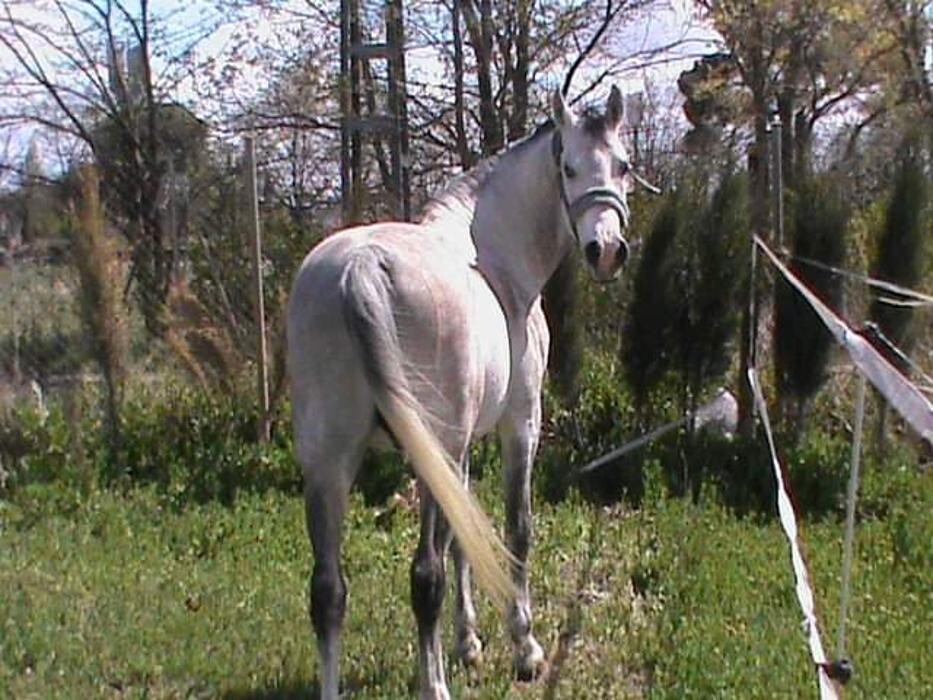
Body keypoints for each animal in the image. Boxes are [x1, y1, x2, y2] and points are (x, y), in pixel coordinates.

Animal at [284, 89, 632, 700]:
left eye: (624, 166)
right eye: (568, 168)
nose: (606, 250)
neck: (491, 255)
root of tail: (359, 268)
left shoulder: (462, 448)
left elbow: (466, 534)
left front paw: (468, 644)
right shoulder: (520, 425)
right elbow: (516, 528)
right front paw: (524, 647)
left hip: (330, 463)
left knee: (327, 591)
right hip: (428, 453)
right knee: (425, 575)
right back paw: (436, 684)